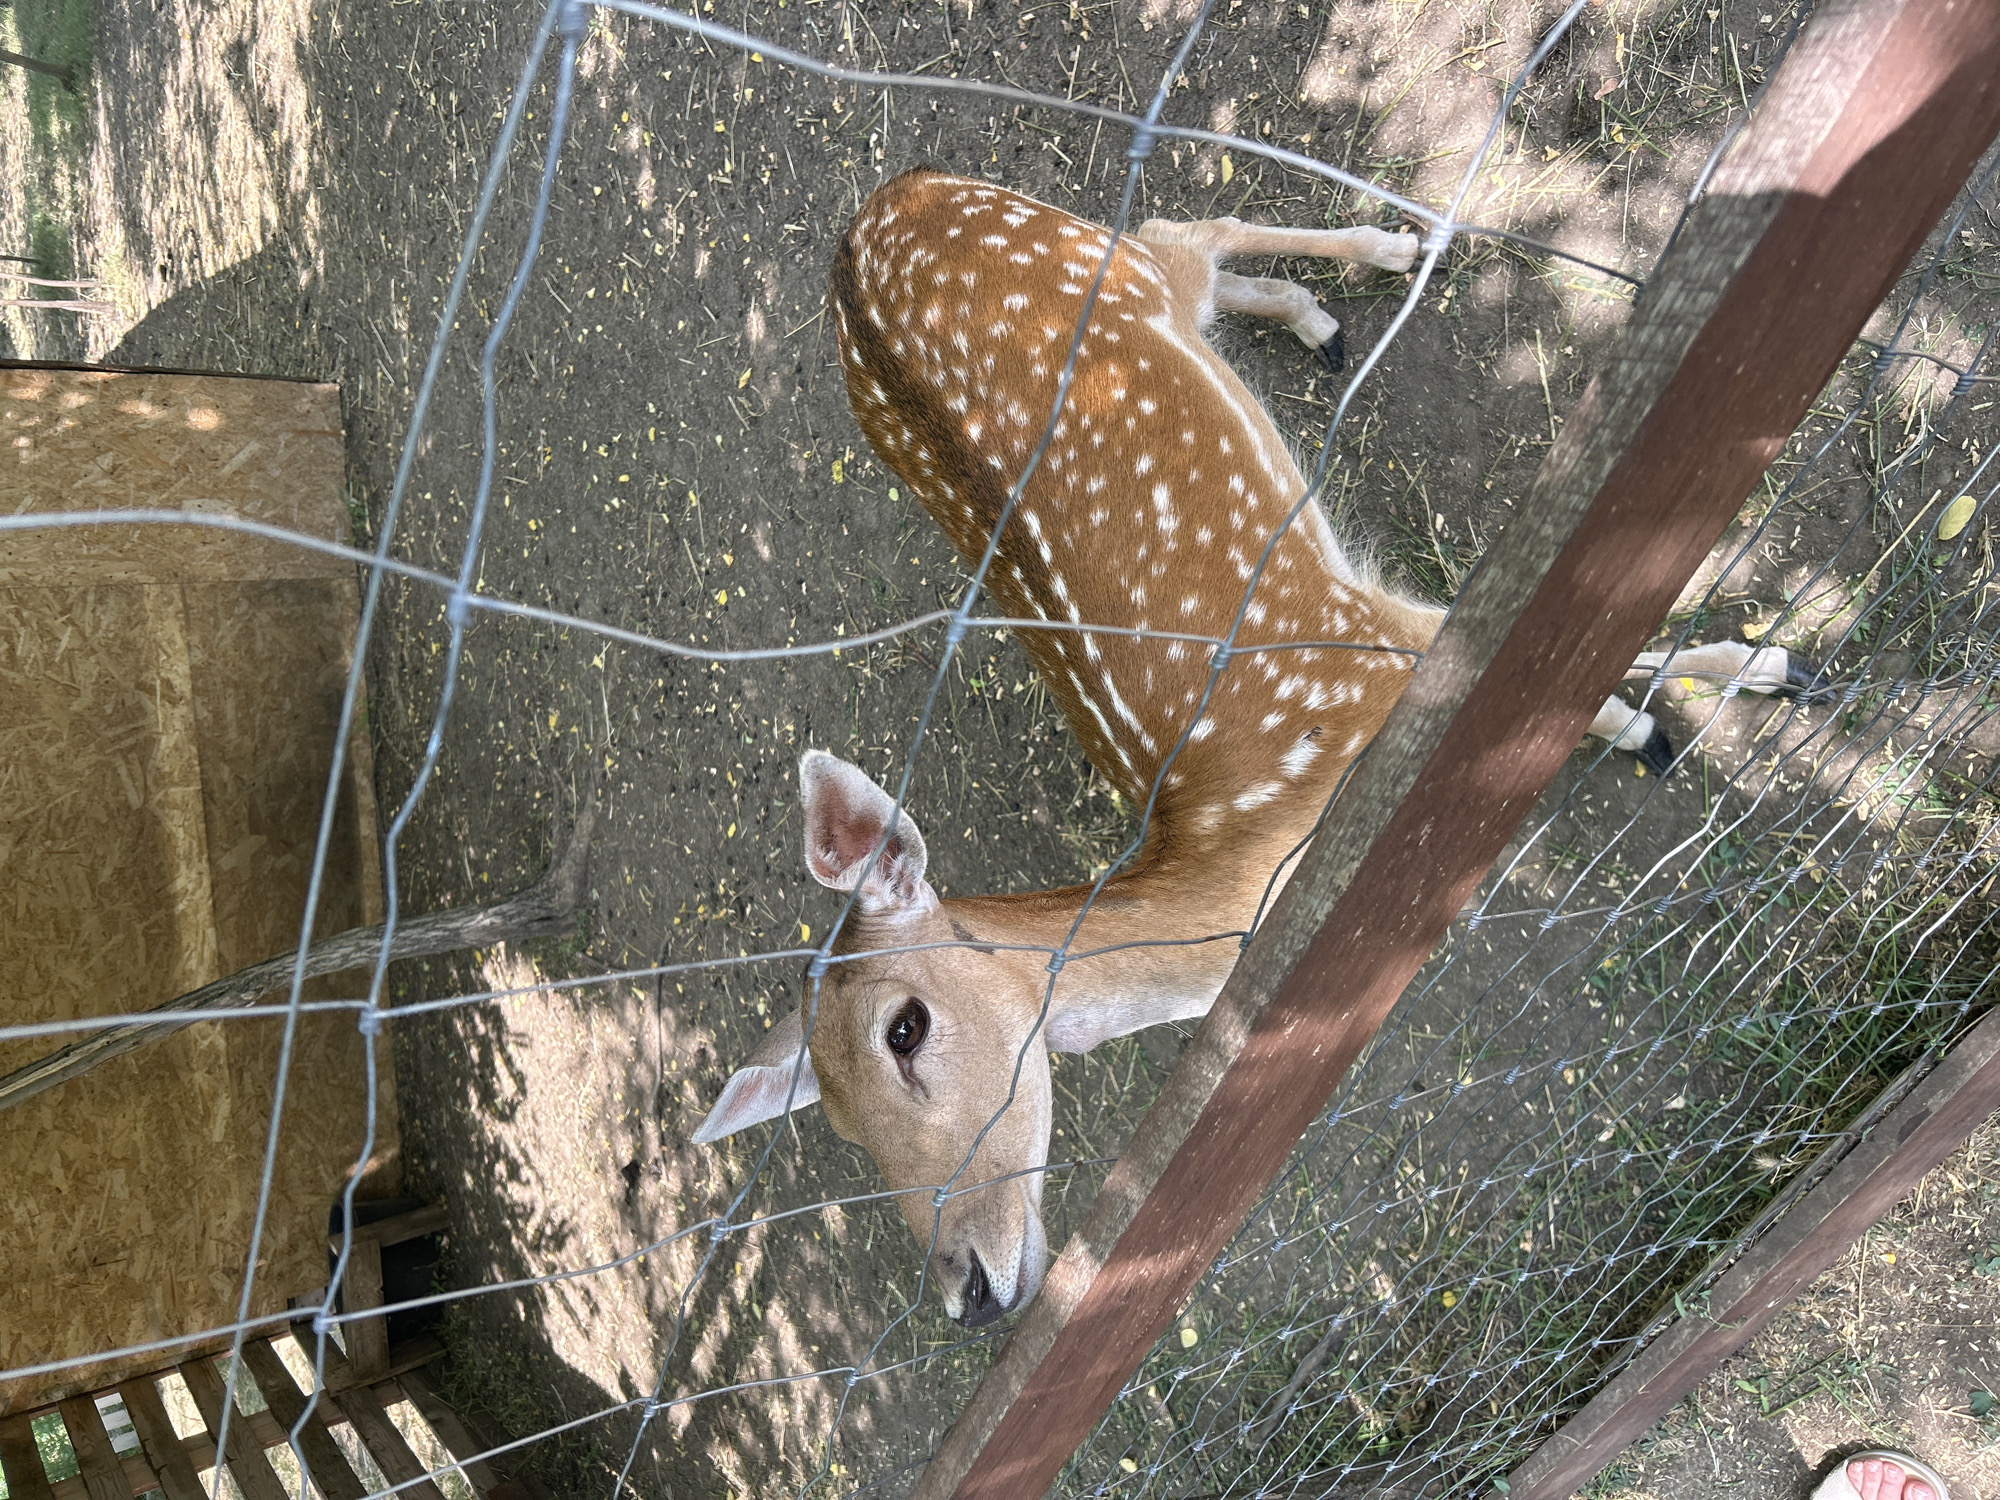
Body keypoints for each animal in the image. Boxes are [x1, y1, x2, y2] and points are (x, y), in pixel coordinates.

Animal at [690, 169, 1823, 1327]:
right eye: (833, 1117)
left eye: (904, 1029)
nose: (968, 1288)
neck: (1253, 851)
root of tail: (884, 203)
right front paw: (1686, 705)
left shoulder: (1393, 647)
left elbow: (1598, 633)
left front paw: (1750, 672)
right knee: (1193, 242)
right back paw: (1321, 317)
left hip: (1113, 256)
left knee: (1190, 225)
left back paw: (1391, 255)